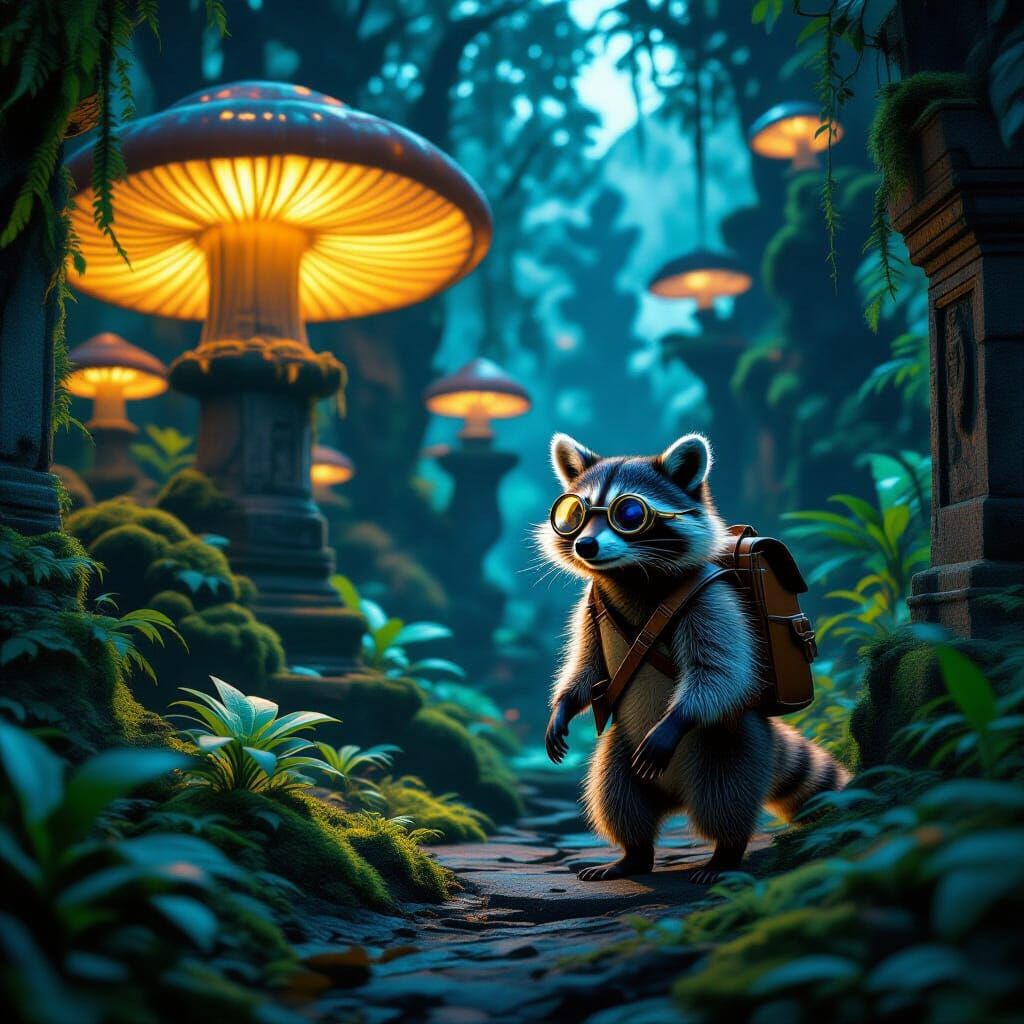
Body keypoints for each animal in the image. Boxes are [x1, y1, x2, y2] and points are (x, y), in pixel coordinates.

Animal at [540, 432, 850, 883]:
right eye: (573, 514)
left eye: (629, 513)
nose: (585, 544)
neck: (629, 573)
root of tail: (675, 796)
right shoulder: (589, 608)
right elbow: (586, 667)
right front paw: (563, 707)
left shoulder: (710, 598)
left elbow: (721, 670)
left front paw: (676, 718)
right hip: (620, 749)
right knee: (614, 796)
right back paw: (632, 854)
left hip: (731, 745)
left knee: (725, 798)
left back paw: (725, 852)